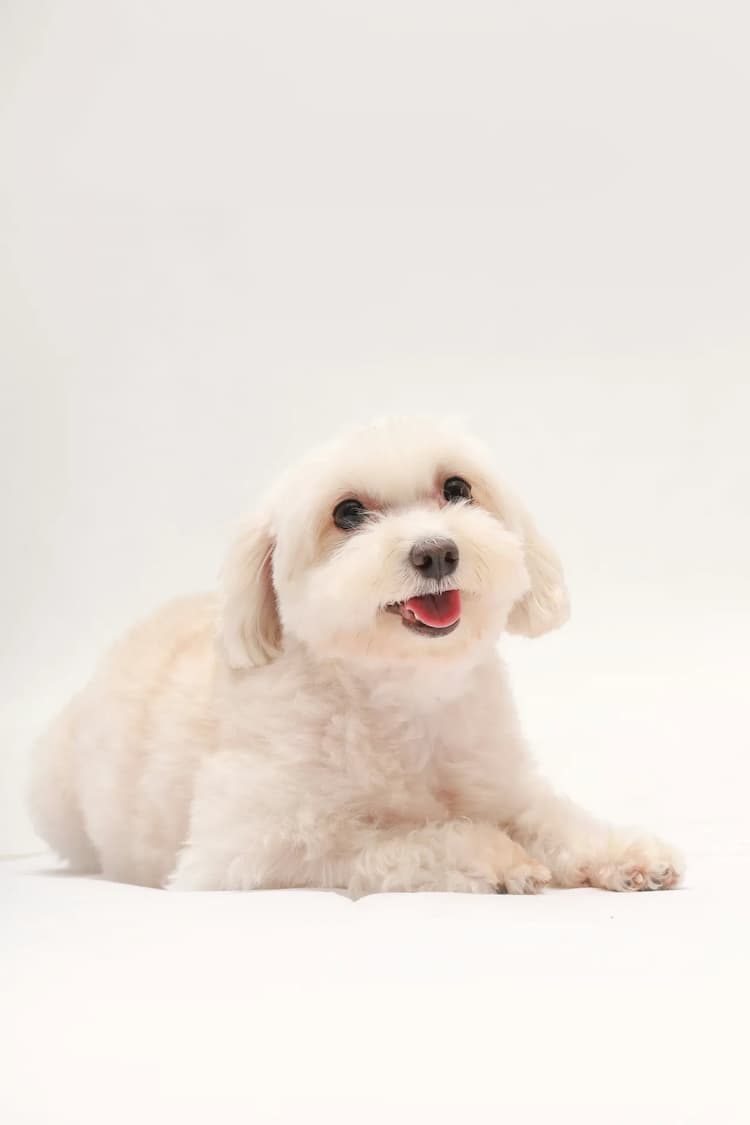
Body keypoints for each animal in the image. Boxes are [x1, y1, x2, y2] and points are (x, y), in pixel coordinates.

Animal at [29, 416, 683, 895]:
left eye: (457, 489)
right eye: (347, 513)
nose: (436, 552)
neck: (404, 695)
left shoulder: (502, 784)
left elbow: (553, 819)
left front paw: (621, 851)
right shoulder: (248, 848)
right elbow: (393, 841)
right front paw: (496, 856)